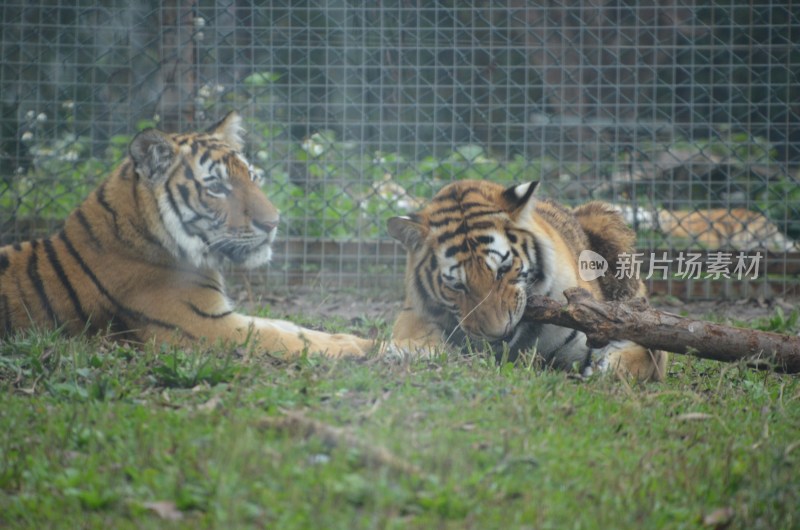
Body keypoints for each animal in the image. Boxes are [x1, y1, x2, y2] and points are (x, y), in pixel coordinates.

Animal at [0, 113, 374, 356]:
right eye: (218, 188)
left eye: (252, 177)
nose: (273, 223)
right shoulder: (207, 325)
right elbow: (288, 339)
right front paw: (369, 346)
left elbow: (289, 326)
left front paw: (360, 338)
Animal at [388, 180, 668, 380]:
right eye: (457, 285)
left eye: (503, 270)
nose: (498, 333)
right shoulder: (415, 311)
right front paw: (407, 349)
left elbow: (642, 354)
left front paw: (607, 369)